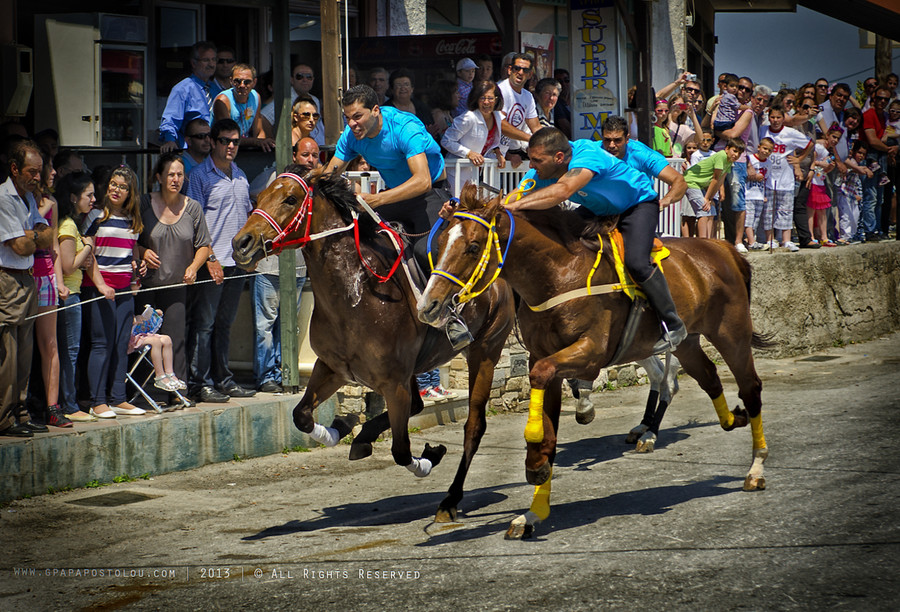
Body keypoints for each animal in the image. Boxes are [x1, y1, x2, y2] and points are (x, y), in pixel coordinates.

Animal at [230, 167, 512, 520]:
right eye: (259, 197)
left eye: (290, 199)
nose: (241, 243)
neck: (355, 294)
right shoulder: (333, 368)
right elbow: (302, 415)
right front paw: (343, 426)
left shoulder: (393, 382)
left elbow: (402, 451)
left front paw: (429, 456)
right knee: (417, 405)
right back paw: (363, 436)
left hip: (485, 351)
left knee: (462, 417)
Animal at [418, 184, 768, 536]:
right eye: (440, 241)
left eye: (473, 247)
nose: (428, 305)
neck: (558, 274)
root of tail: (722, 247)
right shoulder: (543, 356)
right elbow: (549, 424)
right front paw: (533, 510)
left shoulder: (589, 353)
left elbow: (544, 380)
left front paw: (535, 457)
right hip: (688, 342)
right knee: (706, 376)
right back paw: (730, 419)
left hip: (731, 333)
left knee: (748, 387)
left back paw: (755, 468)